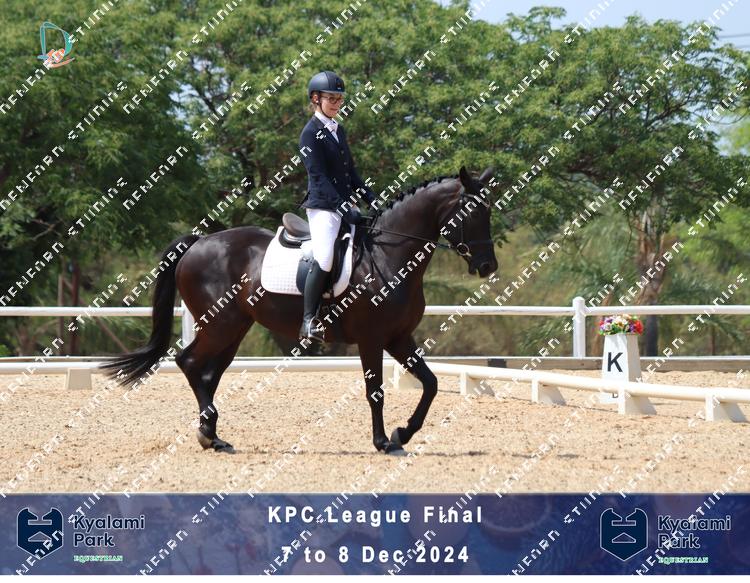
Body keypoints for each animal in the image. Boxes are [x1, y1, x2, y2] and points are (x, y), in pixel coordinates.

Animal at [100, 165, 498, 455]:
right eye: (470, 212)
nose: (488, 266)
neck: (390, 256)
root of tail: (199, 242)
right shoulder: (372, 340)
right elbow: (376, 391)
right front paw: (384, 442)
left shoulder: (399, 337)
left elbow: (431, 384)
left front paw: (404, 433)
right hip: (220, 324)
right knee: (189, 362)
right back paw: (208, 435)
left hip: (236, 327)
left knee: (208, 372)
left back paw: (213, 436)